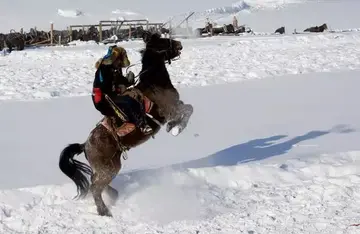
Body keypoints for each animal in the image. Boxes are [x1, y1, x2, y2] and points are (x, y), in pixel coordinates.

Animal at [59, 31, 194, 218]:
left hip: (105, 168)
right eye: (163, 42)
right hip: (109, 168)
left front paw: (174, 126)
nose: (179, 44)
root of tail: (85, 145)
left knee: (96, 182)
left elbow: (187, 109)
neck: (154, 83)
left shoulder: (176, 105)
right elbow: (188, 110)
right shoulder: (171, 109)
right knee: (95, 187)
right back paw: (105, 211)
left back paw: (113, 195)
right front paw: (175, 128)